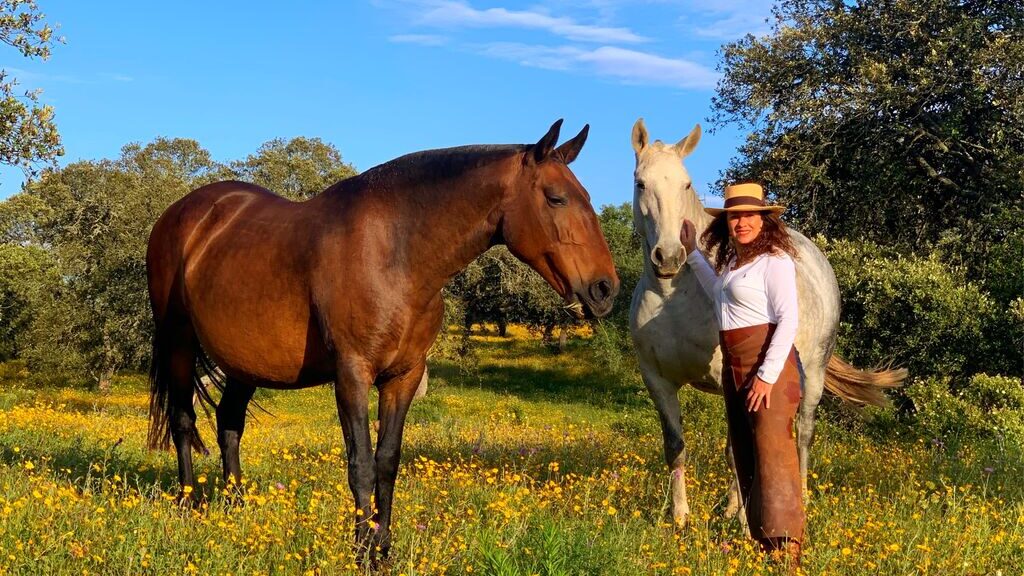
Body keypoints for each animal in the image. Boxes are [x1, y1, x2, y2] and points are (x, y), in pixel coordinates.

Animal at [145, 119, 620, 561]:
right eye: (555, 198)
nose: (604, 289)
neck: (396, 253)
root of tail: (183, 213)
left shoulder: (403, 376)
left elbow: (387, 462)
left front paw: (383, 549)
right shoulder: (352, 373)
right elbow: (360, 465)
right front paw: (361, 551)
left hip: (244, 362)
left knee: (229, 425)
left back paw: (238, 510)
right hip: (178, 342)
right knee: (183, 422)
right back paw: (188, 507)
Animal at [627, 118, 905, 527]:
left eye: (686, 184)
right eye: (641, 183)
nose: (670, 256)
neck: (673, 295)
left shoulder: (730, 379)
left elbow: (738, 450)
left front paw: (744, 524)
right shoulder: (657, 380)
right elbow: (676, 446)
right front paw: (680, 518)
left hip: (813, 373)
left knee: (802, 434)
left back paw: (794, 500)